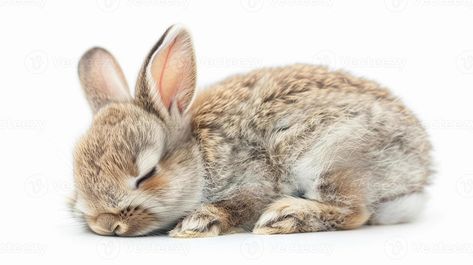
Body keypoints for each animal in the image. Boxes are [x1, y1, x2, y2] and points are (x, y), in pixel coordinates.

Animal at [71, 23, 432, 236]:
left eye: (146, 175)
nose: (107, 225)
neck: (199, 152)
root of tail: (420, 169)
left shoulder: (253, 178)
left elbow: (243, 203)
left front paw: (197, 224)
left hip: (331, 153)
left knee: (354, 211)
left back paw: (285, 217)